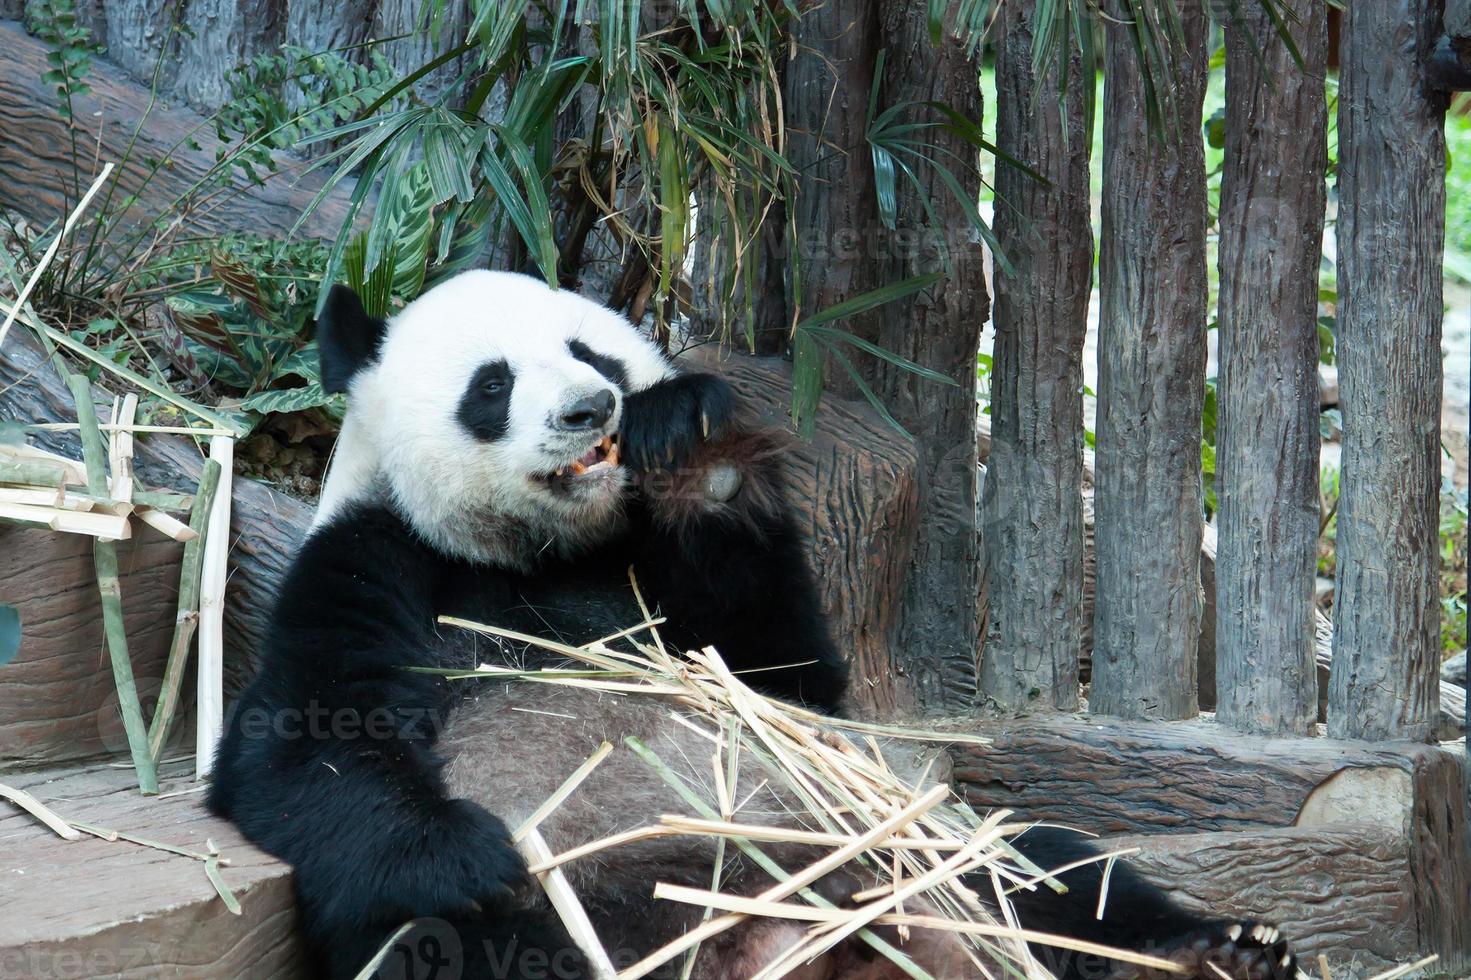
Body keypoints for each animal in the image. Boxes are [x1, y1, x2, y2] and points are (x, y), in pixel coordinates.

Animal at [210, 270, 1300, 977]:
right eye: (493, 383)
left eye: (591, 353)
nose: (591, 409)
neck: (540, 551)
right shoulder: (371, 565)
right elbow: (305, 746)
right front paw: (470, 855)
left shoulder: (660, 583)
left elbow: (789, 679)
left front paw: (694, 445)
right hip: (598, 910)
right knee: (459, 947)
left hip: (912, 844)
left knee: (1049, 871)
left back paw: (1214, 954)